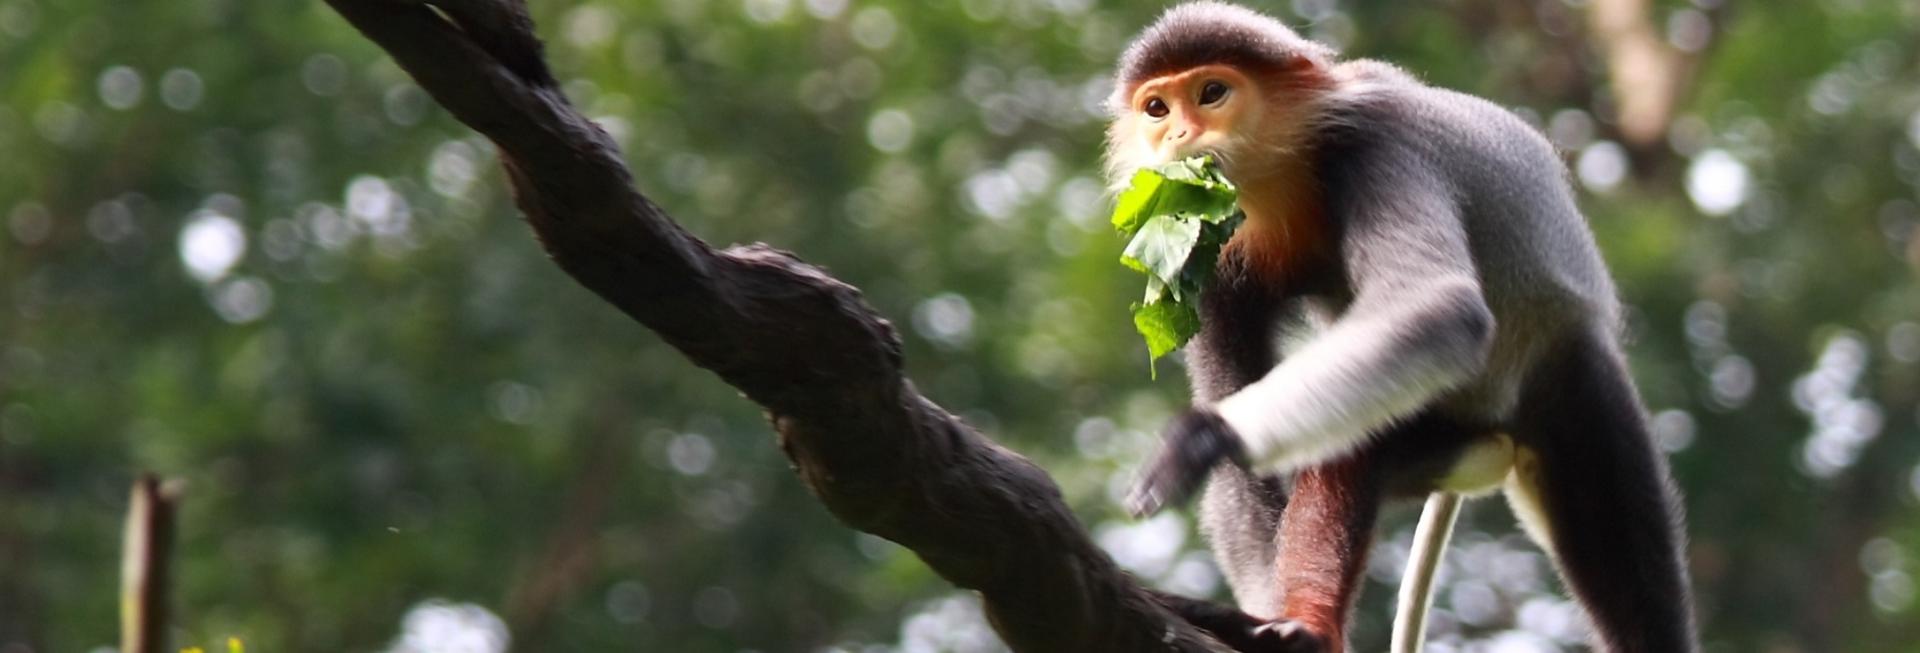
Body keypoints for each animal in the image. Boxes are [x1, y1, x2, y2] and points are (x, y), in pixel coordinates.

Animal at [1103, 4, 1697, 652]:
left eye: (1211, 93)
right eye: (1157, 109)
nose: (1177, 137)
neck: (1291, 180)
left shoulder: (1379, 147)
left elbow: (1440, 308)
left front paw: (1202, 437)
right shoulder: (1207, 246)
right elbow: (1236, 435)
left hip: (1571, 379)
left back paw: (1311, 628)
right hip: (1450, 442)